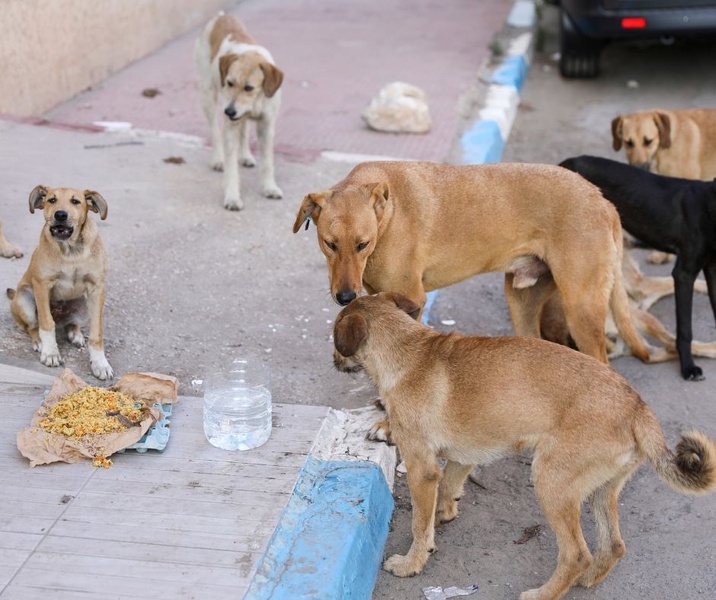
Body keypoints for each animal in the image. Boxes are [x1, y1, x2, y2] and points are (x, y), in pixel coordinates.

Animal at [5, 185, 112, 380]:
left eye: (75, 201)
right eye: (51, 200)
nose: (60, 215)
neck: (70, 250)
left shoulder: (97, 289)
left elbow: (97, 333)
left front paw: (100, 363)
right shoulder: (42, 285)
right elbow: (47, 323)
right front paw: (50, 352)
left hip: (84, 305)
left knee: (71, 323)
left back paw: (75, 333)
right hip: (24, 299)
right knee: (33, 326)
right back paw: (39, 342)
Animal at [197, 11, 286, 211]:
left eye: (249, 88)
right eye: (229, 83)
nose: (228, 111)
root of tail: (221, 15)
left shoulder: (266, 126)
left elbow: (267, 162)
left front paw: (270, 187)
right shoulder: (230, 126)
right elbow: (231, 168)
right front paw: (232, 197)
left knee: (244, 129)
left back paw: (245, 155)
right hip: (207, 95)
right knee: (214, 130)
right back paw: (218, 159)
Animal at [332, 292, 716, 600]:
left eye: (335, 338)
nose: (334, 361)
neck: (408, 351)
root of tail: (637, 406)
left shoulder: (420, 467)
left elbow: (418, 521)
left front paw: (412, 561)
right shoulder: (464, 455)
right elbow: (448, 488)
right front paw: (442, 517)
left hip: (551, 483)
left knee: (577, 553)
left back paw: (544, 594)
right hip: (600, 491)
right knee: (613, 545)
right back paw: (586, 581)